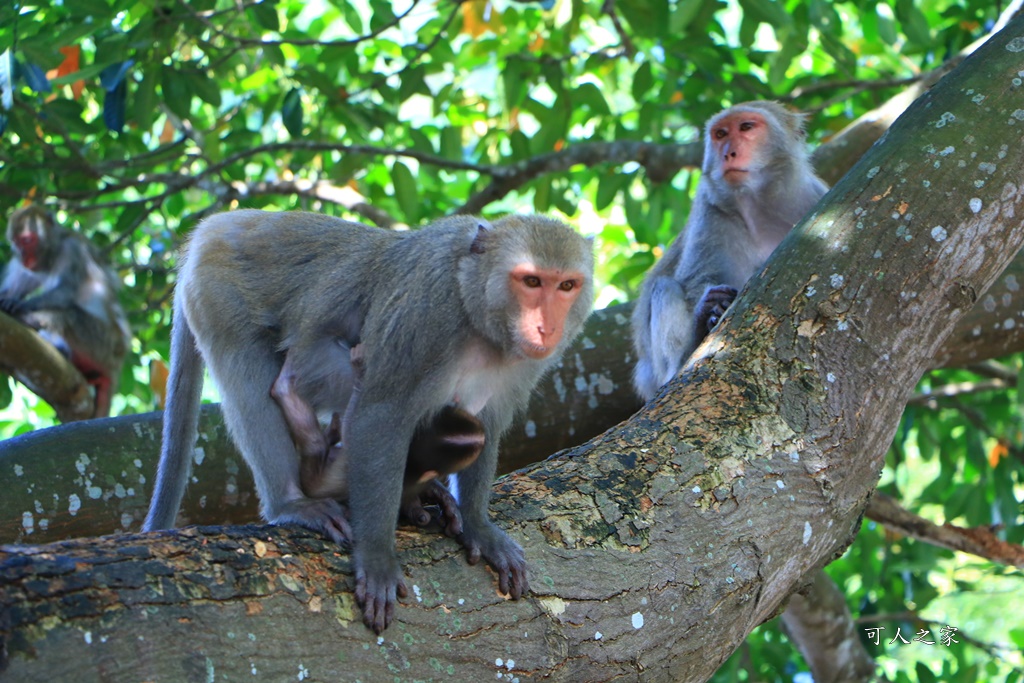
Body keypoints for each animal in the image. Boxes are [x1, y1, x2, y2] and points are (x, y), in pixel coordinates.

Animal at [0, 204, 132, 417]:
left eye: (28, 240)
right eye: (17, 243)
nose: (25, 258)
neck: (53, 253)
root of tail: (118, 362)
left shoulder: (74, 250)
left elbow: (66, 291)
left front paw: (19, 306)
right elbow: (14, 287)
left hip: (104, 344)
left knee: (70, 315)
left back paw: (27, 319)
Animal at [143, 209, 593, 634]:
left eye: (566, 286)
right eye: (531, 281)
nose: (546, 328)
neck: (475, 304)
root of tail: (212, 229)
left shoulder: (520, 365)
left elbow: (485, 425)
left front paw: (479, 525)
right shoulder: (425, 317)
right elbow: (380, 415)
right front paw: (377, 556)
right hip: (219, 291)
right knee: (255, 379)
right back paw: (290, 500)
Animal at [626, 101, 827, 401]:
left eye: (746, 127)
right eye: (720, 134)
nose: (727, 153)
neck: (759, 206)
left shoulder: (817, 199)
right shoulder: (709, 212)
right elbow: (696, 281)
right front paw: (712, 308)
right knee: (664, 287)